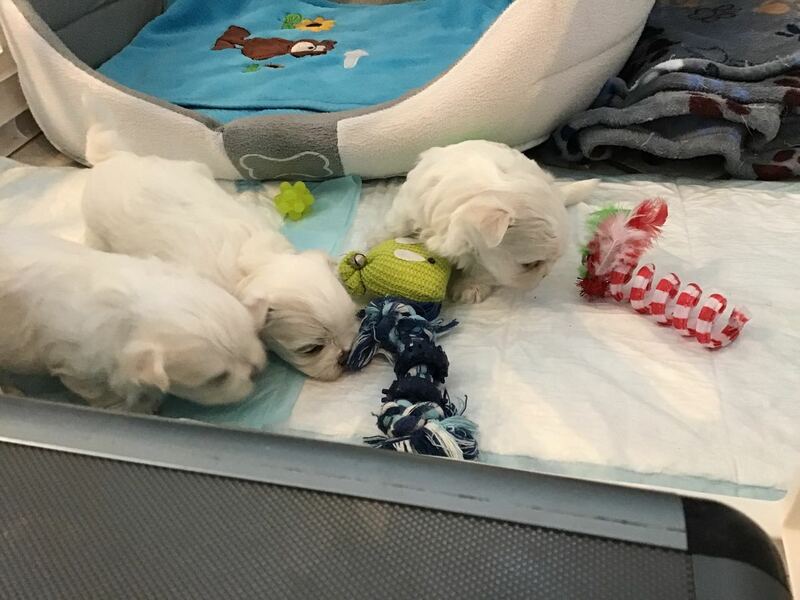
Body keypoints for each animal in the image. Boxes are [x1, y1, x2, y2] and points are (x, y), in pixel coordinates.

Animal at [82, 135, 358, 381]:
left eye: (357, 317)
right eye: (312, 349)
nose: (346, 355)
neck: (254, 268)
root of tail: (110, 158)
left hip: (189, 167)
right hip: (97, 232)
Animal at [382, 140, 598, 303]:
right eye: (530, 264)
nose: (544, 276)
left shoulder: (487, 257)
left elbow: (483, 270)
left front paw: (470, 288)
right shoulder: (408, 205)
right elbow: (397, 226)